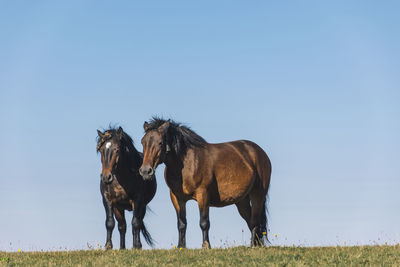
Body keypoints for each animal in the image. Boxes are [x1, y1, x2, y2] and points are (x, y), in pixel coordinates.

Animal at [138, 119, 272, 249]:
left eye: (160, 143)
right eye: (142, 142)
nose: (145, 171)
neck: (186, 164)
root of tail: (260, 152)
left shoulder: (202, 194)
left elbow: (204, 222)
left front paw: (206, 245)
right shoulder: (177, 197)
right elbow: (181, 223)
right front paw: (181, 246)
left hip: (257, 195)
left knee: (254, 221)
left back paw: (253, 246)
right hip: (242, 201)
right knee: (250, 221)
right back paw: (257, 245)